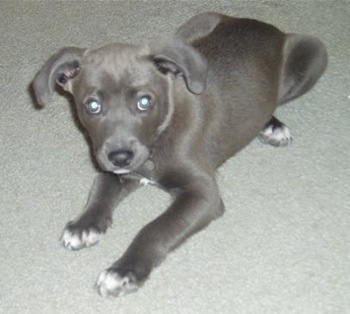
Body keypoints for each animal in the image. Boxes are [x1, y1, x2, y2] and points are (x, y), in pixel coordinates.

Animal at [31, 12, 326, 296]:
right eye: (92, 105)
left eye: (145, 102)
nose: (120, 157)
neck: (160, 135)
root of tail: (263, 25)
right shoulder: (116, 166)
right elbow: (101, 188)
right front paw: (84, 225)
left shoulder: (204, 194)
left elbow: (155, 229)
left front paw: (125, 271)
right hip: (187, 29)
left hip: (313, 54)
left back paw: (272, 125)